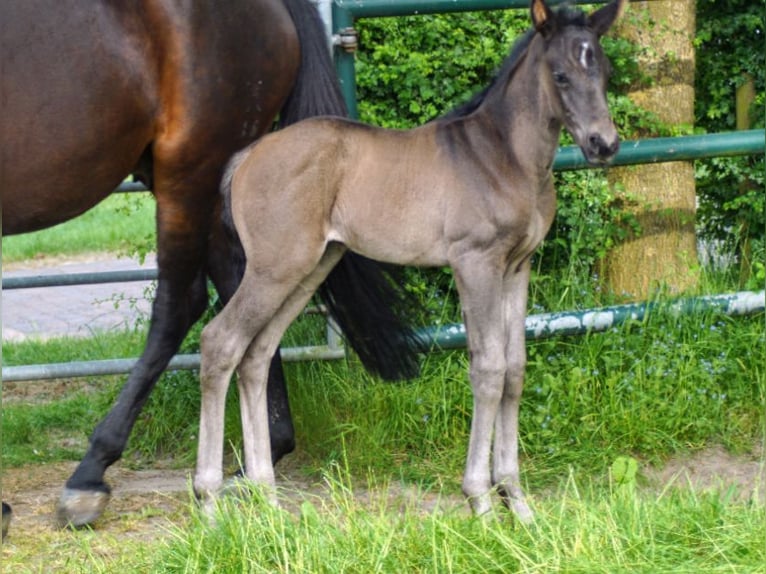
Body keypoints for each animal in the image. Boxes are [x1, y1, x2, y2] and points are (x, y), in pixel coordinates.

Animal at [194, 0, 626, 522]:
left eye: (604, 71)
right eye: (560, 75)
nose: (604, 144)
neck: (503, 156)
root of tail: (249, 154)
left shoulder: (516, 267)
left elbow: (516, 369)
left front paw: (518, 504)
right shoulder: (475, 263)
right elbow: (488, 368)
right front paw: (482, 501)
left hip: (310, 268)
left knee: (255, 353)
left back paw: (271, 503)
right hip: (274, 268)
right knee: (220, 342)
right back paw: (209, 504)